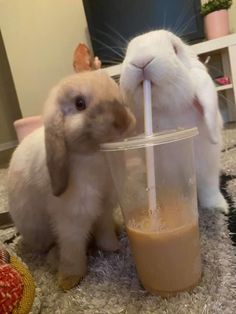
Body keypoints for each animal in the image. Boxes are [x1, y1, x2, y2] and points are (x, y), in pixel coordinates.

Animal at [7, 70, 136, 290]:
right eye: (80, 103)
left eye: (116, 92)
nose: (123, 120)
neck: (95, 155)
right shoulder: (73, 217)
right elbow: (72, 249)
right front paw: (68, 281)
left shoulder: (104, 207)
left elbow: (105, 230)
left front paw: (113, 248)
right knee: (52, 247)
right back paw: (55, 258)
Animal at [120, 30, 229, 213]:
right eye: (127, 52)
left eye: (175, 49)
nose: (141, 61)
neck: (166, 114)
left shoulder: (208, 165)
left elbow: (209, 188)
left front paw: (219, 207)